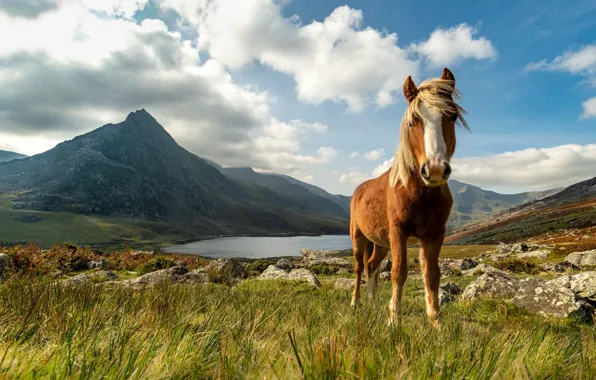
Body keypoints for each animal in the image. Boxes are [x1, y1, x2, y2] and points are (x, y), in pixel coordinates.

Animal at [350, 67, 470, 326]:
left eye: (452, 116)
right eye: (413, 121)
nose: (435, 170)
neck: (419, 193)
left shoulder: (435, 235)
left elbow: (432, 274)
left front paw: (436, 320)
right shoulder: (398, 232)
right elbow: (399, 272)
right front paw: (394, 319)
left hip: (380, 242)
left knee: (372, 266)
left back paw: (371, 302)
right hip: (359, 237)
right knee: (358, 267)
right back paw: (356, 302)